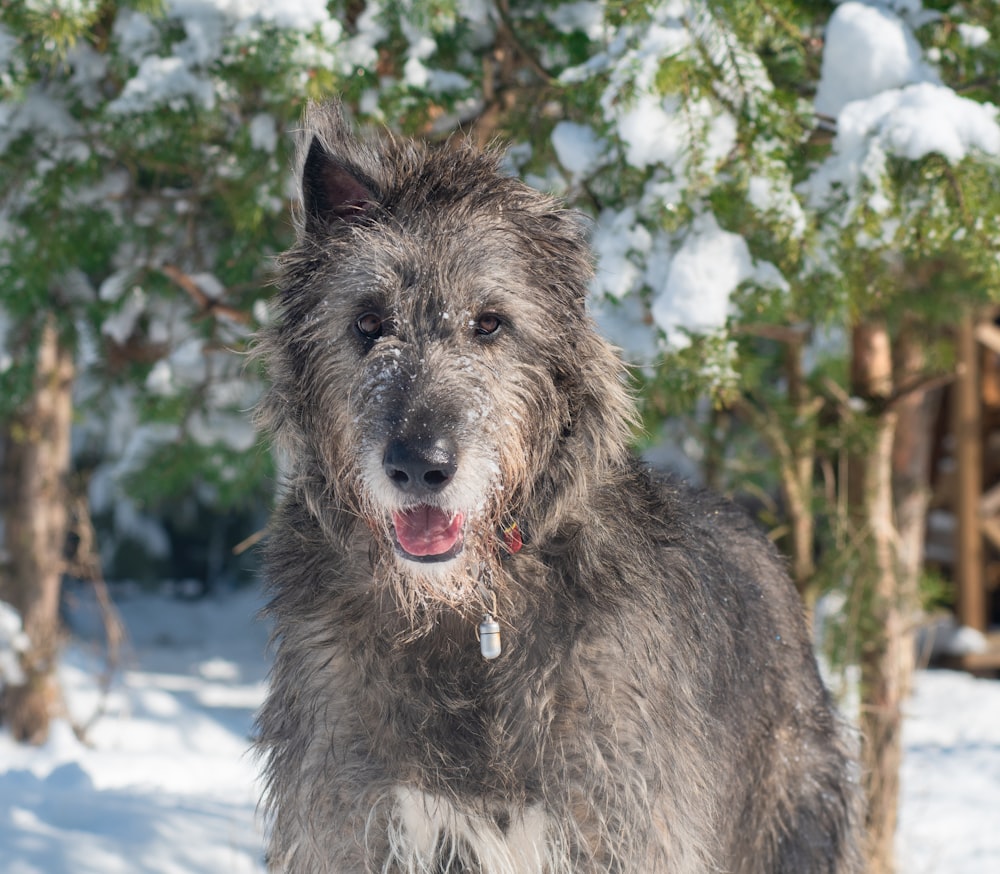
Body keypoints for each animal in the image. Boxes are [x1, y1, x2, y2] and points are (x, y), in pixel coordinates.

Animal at [254, 104, 864, 872]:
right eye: (368, 322)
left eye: (489, 322)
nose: (420, 465)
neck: (463, 618)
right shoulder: (351, 823)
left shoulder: (622, 822)